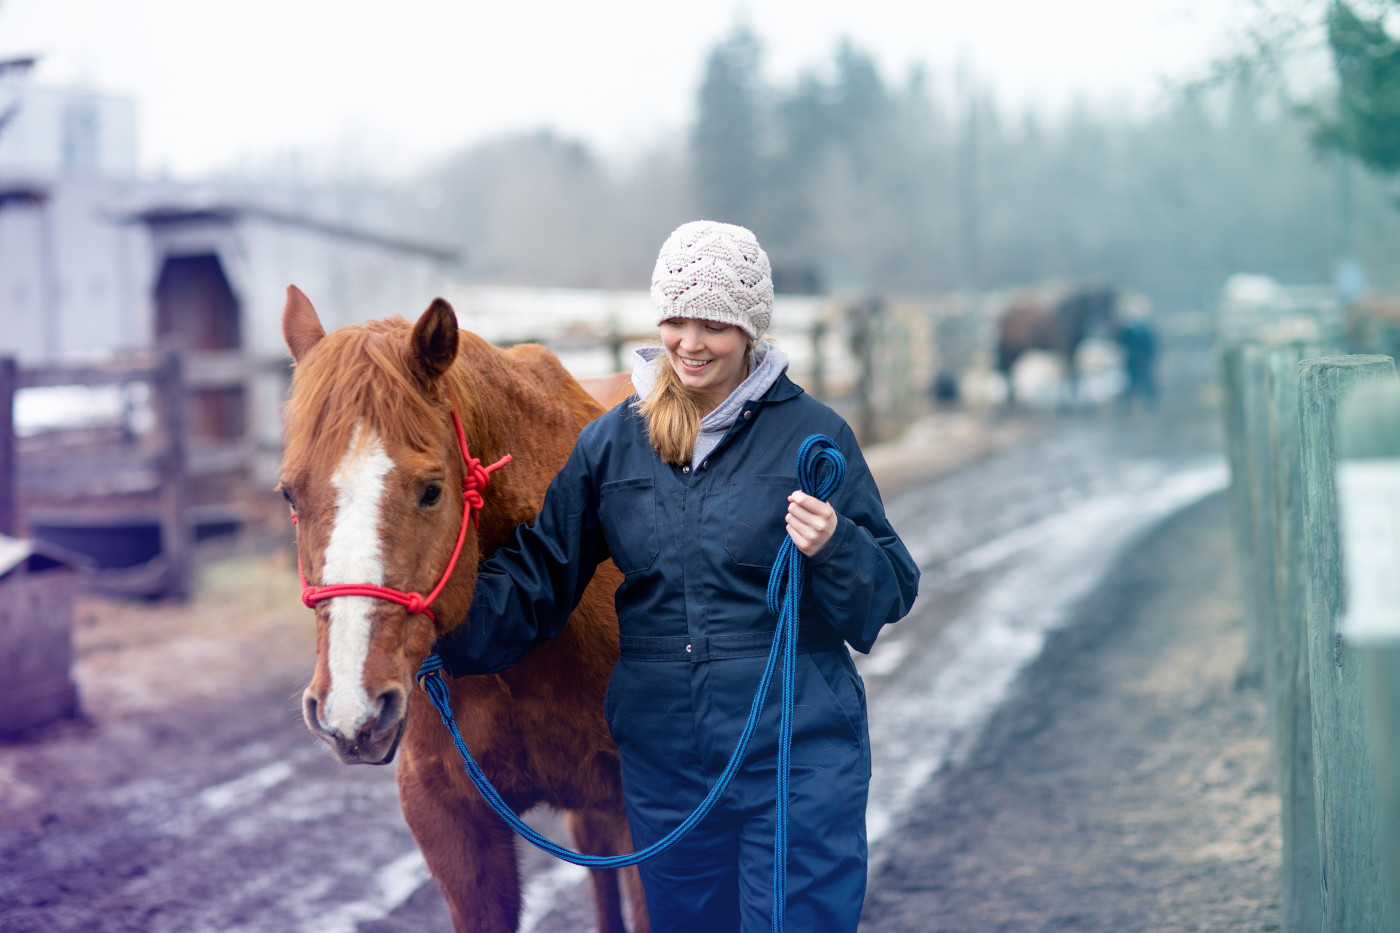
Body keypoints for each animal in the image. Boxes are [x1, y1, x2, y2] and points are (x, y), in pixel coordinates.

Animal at [991, 280, 1120, 403]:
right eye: (1098, 302)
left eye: (1112, 303)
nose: (1113, 327)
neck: (1068, 321)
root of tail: (1003, 316)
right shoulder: (1065, 351)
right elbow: (1069, 375)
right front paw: (1067, 401)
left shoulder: (1073, 351)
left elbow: (1074, 375)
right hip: (1010, 350)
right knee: (1007, 369)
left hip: (1017, 351)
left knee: (1010, 369)